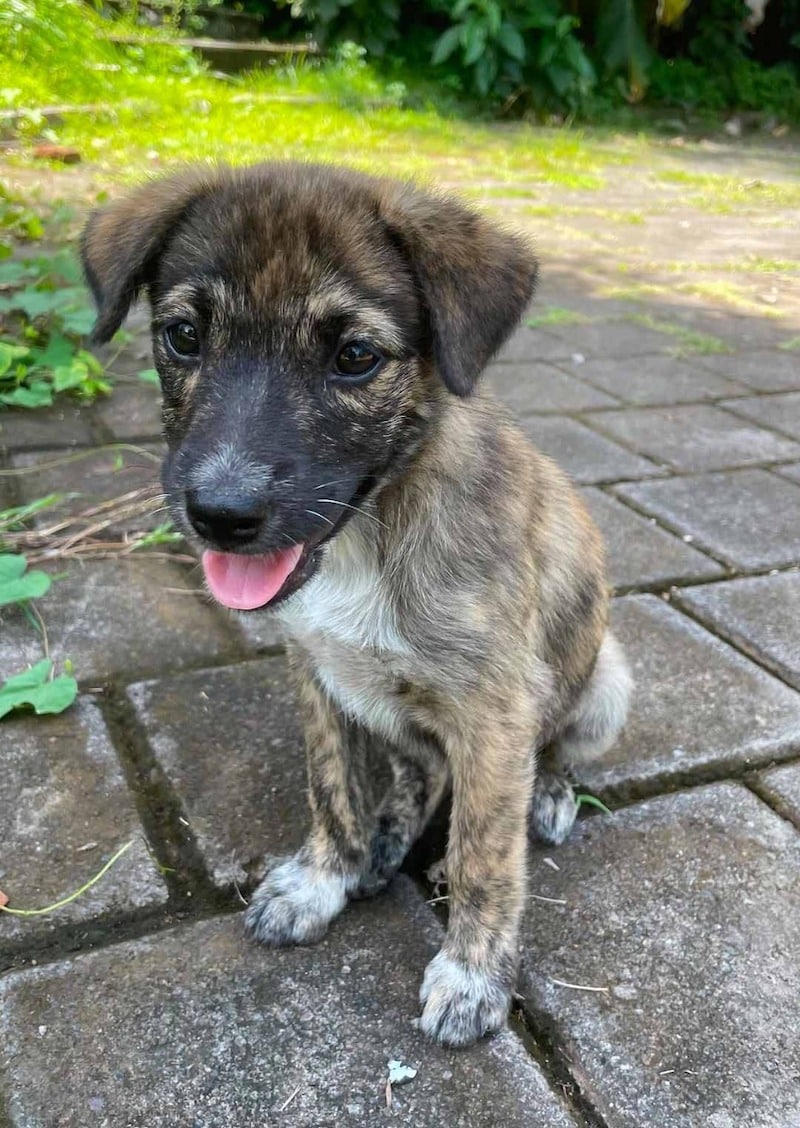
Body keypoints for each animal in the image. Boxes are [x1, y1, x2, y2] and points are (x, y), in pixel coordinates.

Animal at [81, 163, 631, 1051]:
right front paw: (323, 879)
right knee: (420, 766)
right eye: (184, 336)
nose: (221, 515)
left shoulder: (495, 712)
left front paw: (473, 974)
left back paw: (547, 796)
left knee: (550, 754)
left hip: (606, 674)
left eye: (355, 357)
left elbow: (484, 853)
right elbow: (330, 788)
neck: (372, 530)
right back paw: (387, 840)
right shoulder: (315, 669)